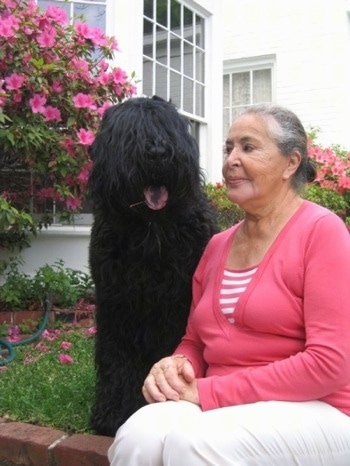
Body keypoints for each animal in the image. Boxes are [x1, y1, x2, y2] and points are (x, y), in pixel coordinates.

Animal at [88, 95, 219, 436]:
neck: (150, 233)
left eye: (167, 127)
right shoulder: (115, 305)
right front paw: (111, 412)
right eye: (131, 132)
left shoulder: (179, 305)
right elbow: (115, 357)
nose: (159, 153)